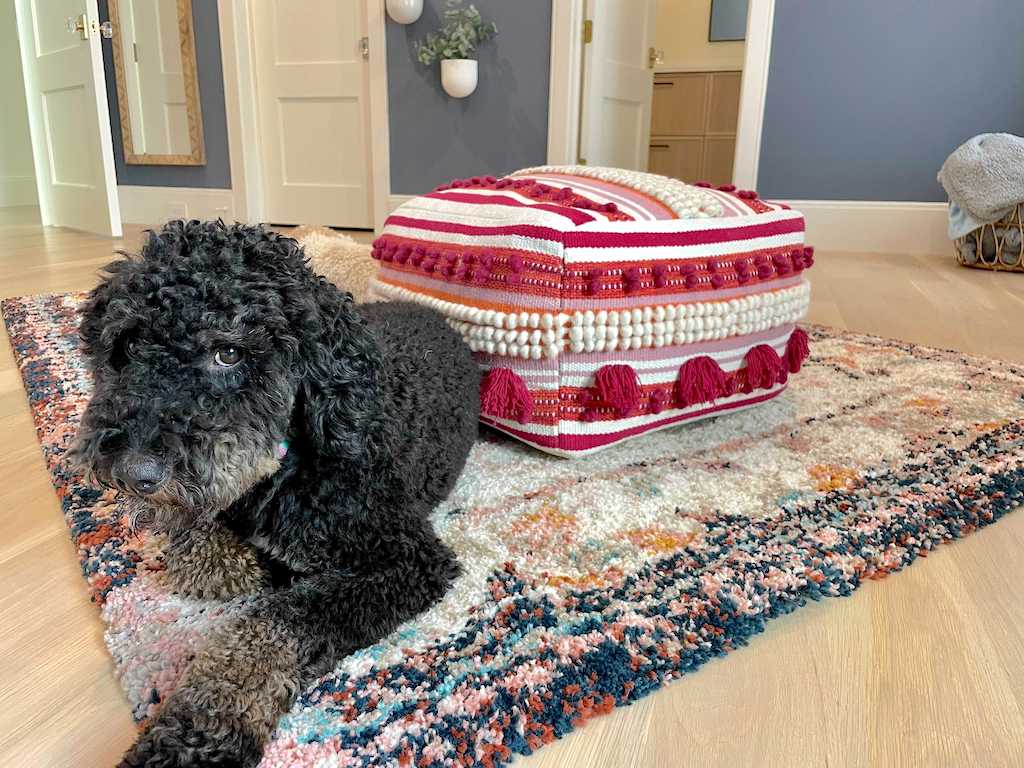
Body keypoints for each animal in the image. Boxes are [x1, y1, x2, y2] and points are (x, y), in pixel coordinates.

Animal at [70, 219, 477, 765]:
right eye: (130, 344)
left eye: (229, 352)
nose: (136, 473)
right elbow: (202, 557)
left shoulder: (408, 558)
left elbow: (276, 623)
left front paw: (198, 732)